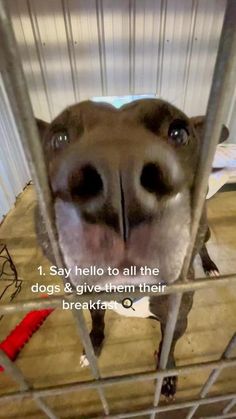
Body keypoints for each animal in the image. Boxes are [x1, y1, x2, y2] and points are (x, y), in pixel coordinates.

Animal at [35, 100, 229, 398]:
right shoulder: (92, 300)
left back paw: (209, 266)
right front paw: (92, 347)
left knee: (204, 247)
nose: (119, 180)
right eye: (59, 138)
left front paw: (166, 376)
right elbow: (97, 322)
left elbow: (167, 348)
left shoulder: (177, 320)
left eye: (179, 134)